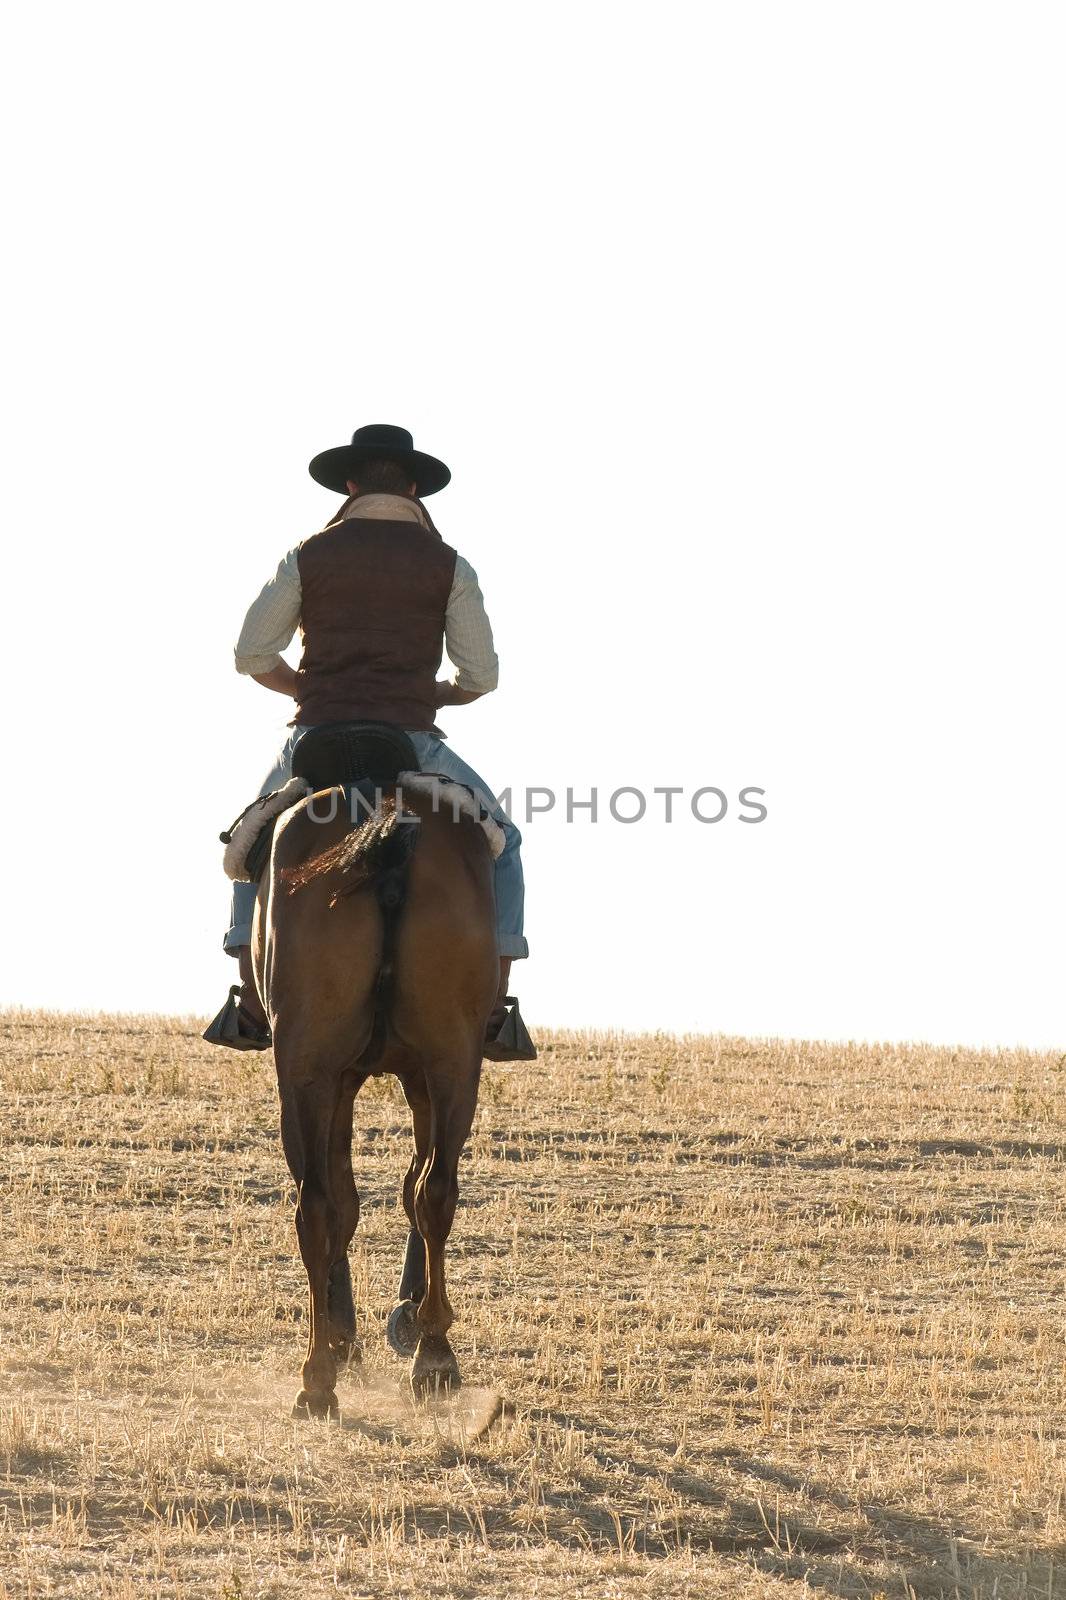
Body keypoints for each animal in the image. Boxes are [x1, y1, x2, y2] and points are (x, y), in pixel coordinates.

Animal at [251, 771, 496, 1414]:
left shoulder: (344, 1080)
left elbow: (360, 1196)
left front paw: (355, 1333)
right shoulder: (405, 1079)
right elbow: (400, 1191)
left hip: (311, 1071)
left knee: (318, 1205)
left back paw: (323, 1374)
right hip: (449, 1063)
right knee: (430, 1193)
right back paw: (429, 1355)